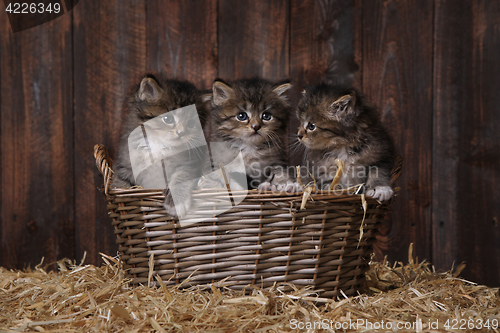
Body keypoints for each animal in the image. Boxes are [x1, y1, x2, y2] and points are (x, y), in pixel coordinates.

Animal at [112, 73, 210, 215]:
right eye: (168, 119)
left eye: (191, 124)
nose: (181, 133)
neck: (159, 145)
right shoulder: (125, 163)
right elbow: (120, 183)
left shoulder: (190, 164)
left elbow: (181, 177)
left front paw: (176, 202)